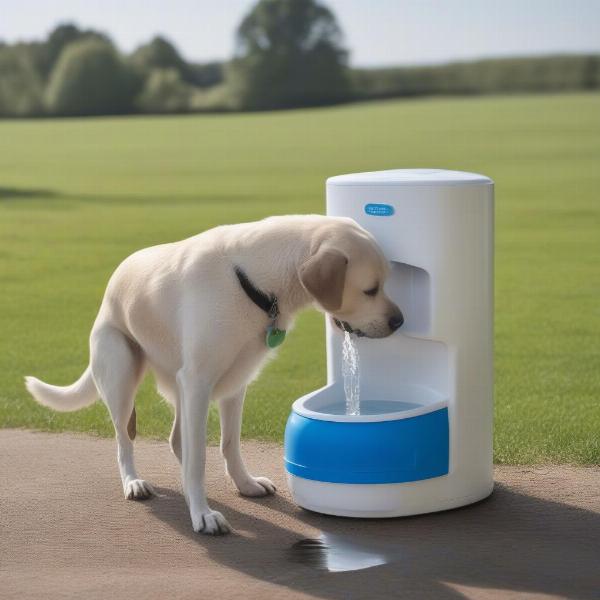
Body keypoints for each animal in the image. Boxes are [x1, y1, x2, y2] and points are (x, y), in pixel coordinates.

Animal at [27, 214, 404, 536]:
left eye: (385, 283)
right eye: (370, 289)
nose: (399, 321)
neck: (252, 278)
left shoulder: (235, 382)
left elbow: (229, 443)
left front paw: (244, 484)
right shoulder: (199, 382)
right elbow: (199, 458)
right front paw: (202, 514)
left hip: (180, 387)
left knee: (177, 439)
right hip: (122, 376)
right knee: (125, 440)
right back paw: (133, 482)